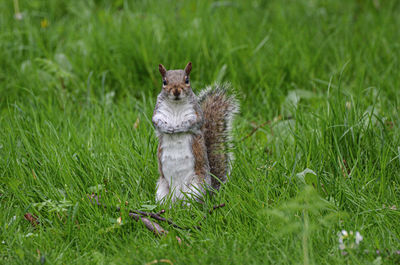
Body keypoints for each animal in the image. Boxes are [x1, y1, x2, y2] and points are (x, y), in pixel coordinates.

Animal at [152, 62, 239, 202]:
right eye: (164, 82)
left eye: (187, 80)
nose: (176, 91)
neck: (176, 105)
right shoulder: (158, 112)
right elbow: (156, 122)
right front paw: (168, 128)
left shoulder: (196, 114)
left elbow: (193, 122)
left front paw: (179, 127)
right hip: (162, 188)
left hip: (197, 185)